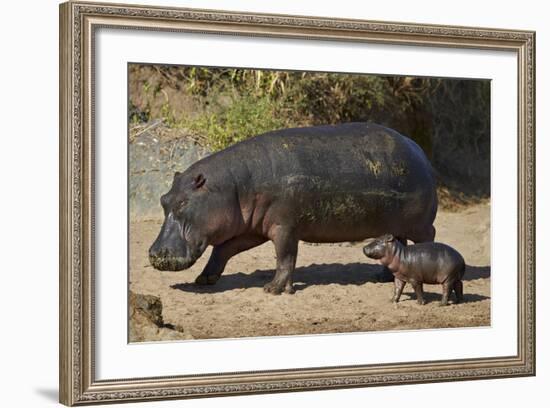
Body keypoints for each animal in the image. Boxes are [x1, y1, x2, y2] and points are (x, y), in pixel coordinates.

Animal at [149, 121, 438, 294]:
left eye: (184, 202)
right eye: (164, 199)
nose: (155, 254)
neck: (233, 186)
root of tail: (419, 150)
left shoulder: (284, 227)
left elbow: (285, 257)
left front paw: (272, 289)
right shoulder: (251, 228)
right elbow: (223, 249)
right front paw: (204, 280)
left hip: (420, 224)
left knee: (428, 238)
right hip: (396, 224)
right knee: (397, 242)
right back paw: (383, 276)